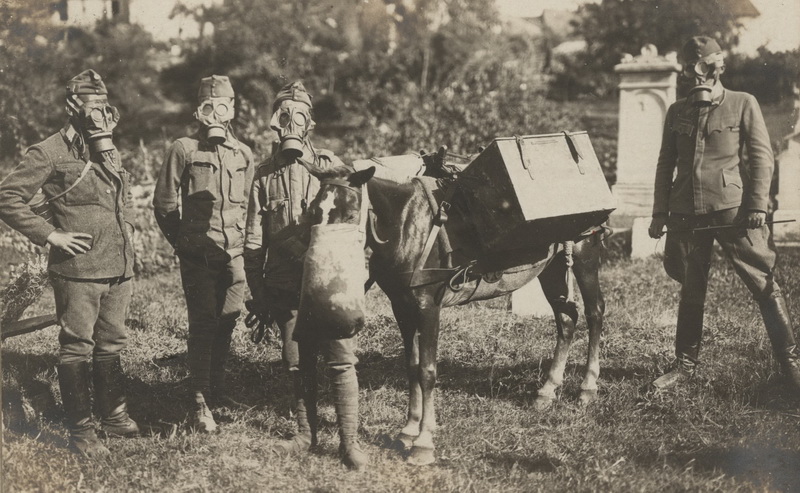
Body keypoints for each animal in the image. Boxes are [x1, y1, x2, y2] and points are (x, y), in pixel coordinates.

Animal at [300, 160, 608, 464]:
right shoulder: (402, 307)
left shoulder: (428, 307)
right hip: (552, 267)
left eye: (351, 213)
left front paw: (423, 442)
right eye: (313, 211)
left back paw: (587, 387)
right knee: (567, 319)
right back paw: (547, 391)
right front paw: (408, 430)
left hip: (584, 256)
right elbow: (411, 367)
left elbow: (427, 371)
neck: (405, 224)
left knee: (594, 313)